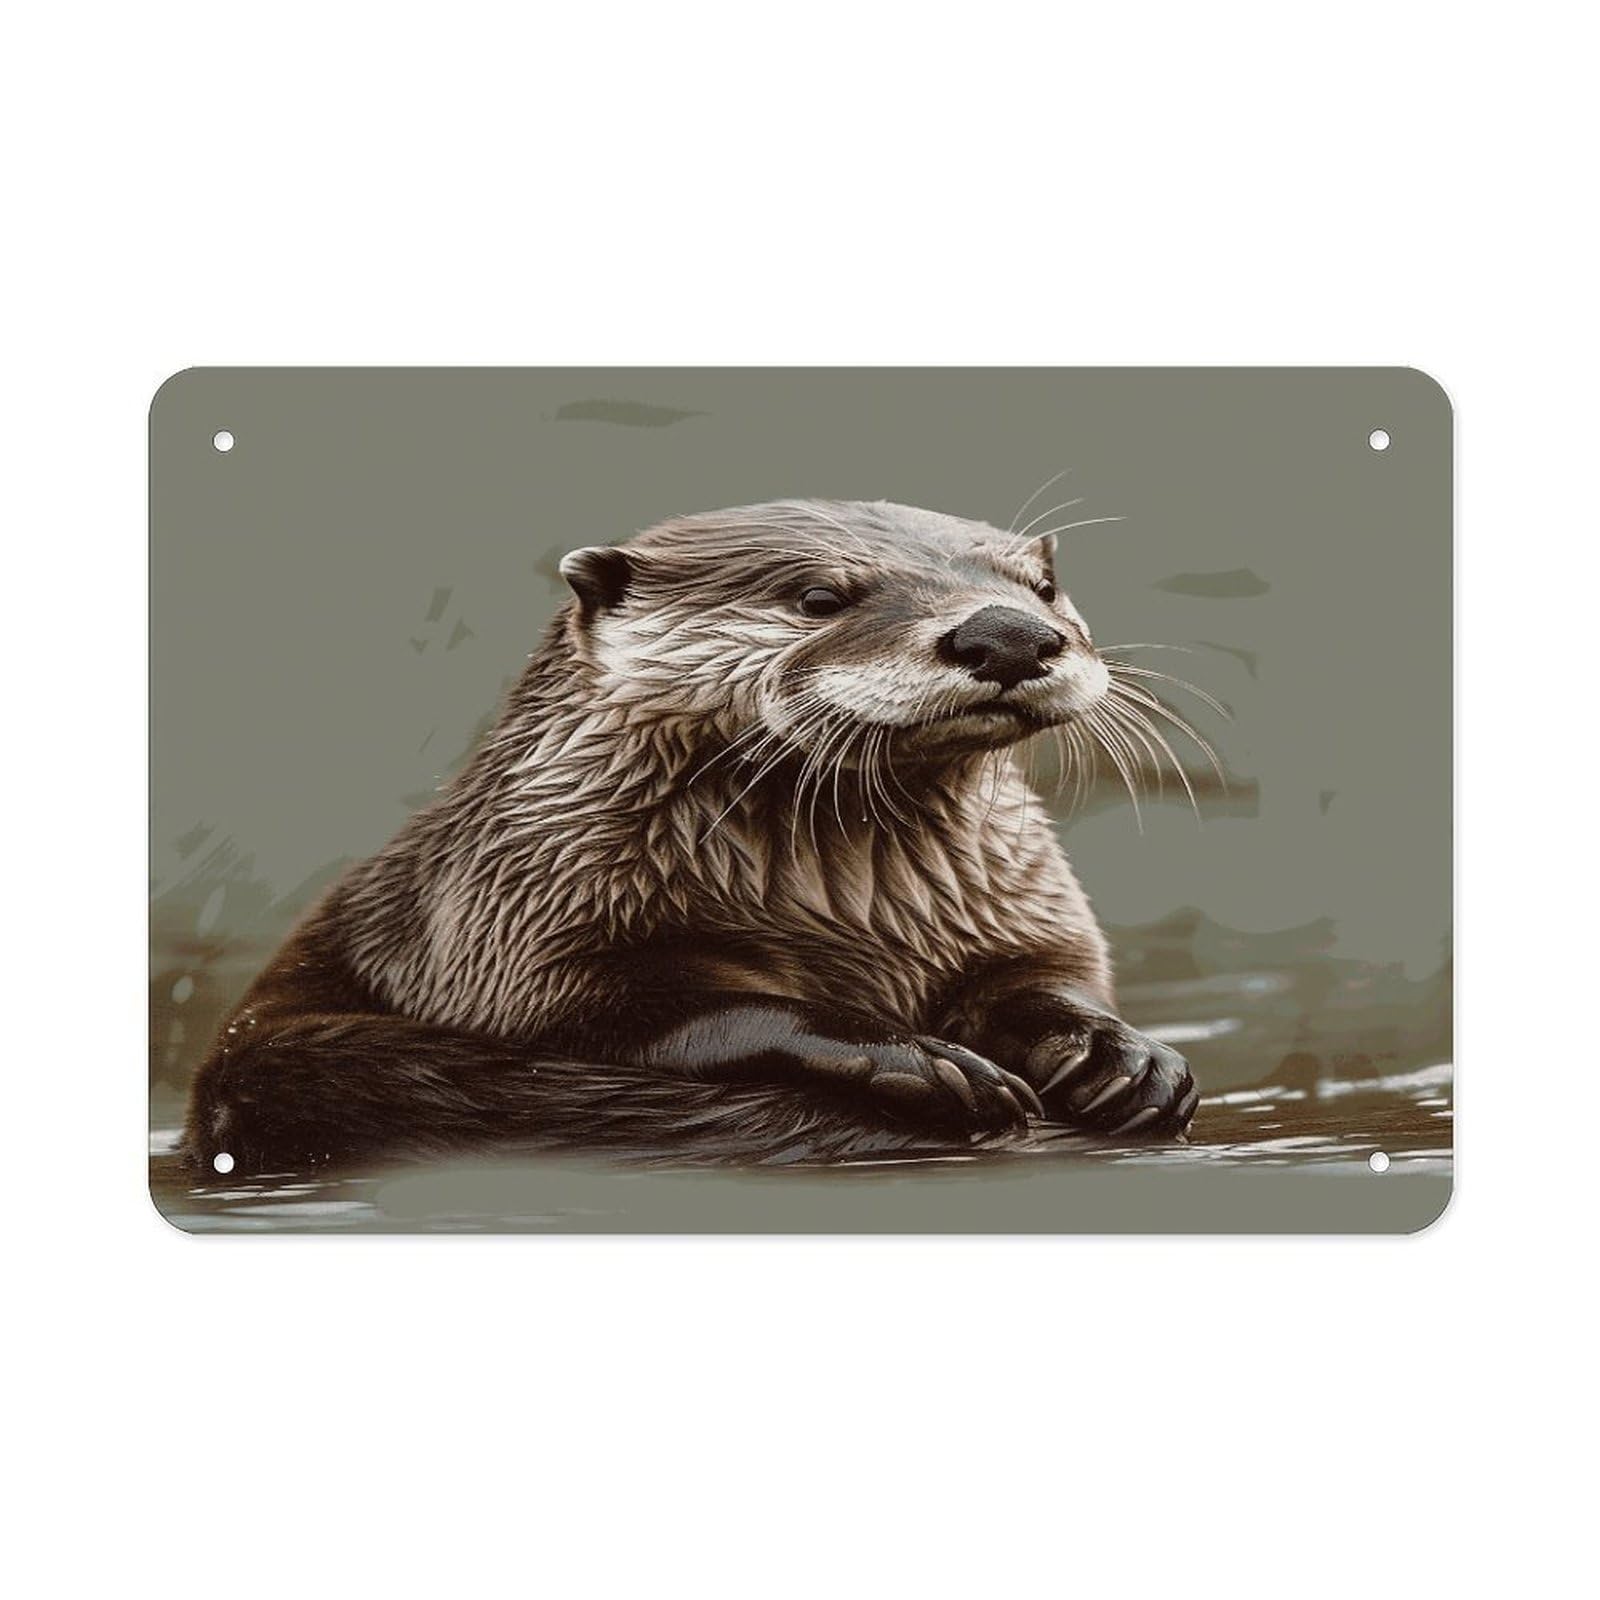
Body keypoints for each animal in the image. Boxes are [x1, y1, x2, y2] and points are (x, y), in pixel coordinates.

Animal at [184, 498, 1199, 1170]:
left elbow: (1042, 978)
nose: (1009, 633)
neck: (851, 918)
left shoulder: (1018, 904)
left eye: (1044, 587)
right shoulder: (510, 921)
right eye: (819, 597)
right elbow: (646, 1010)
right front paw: (918, 1056)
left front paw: (1124, 1054)